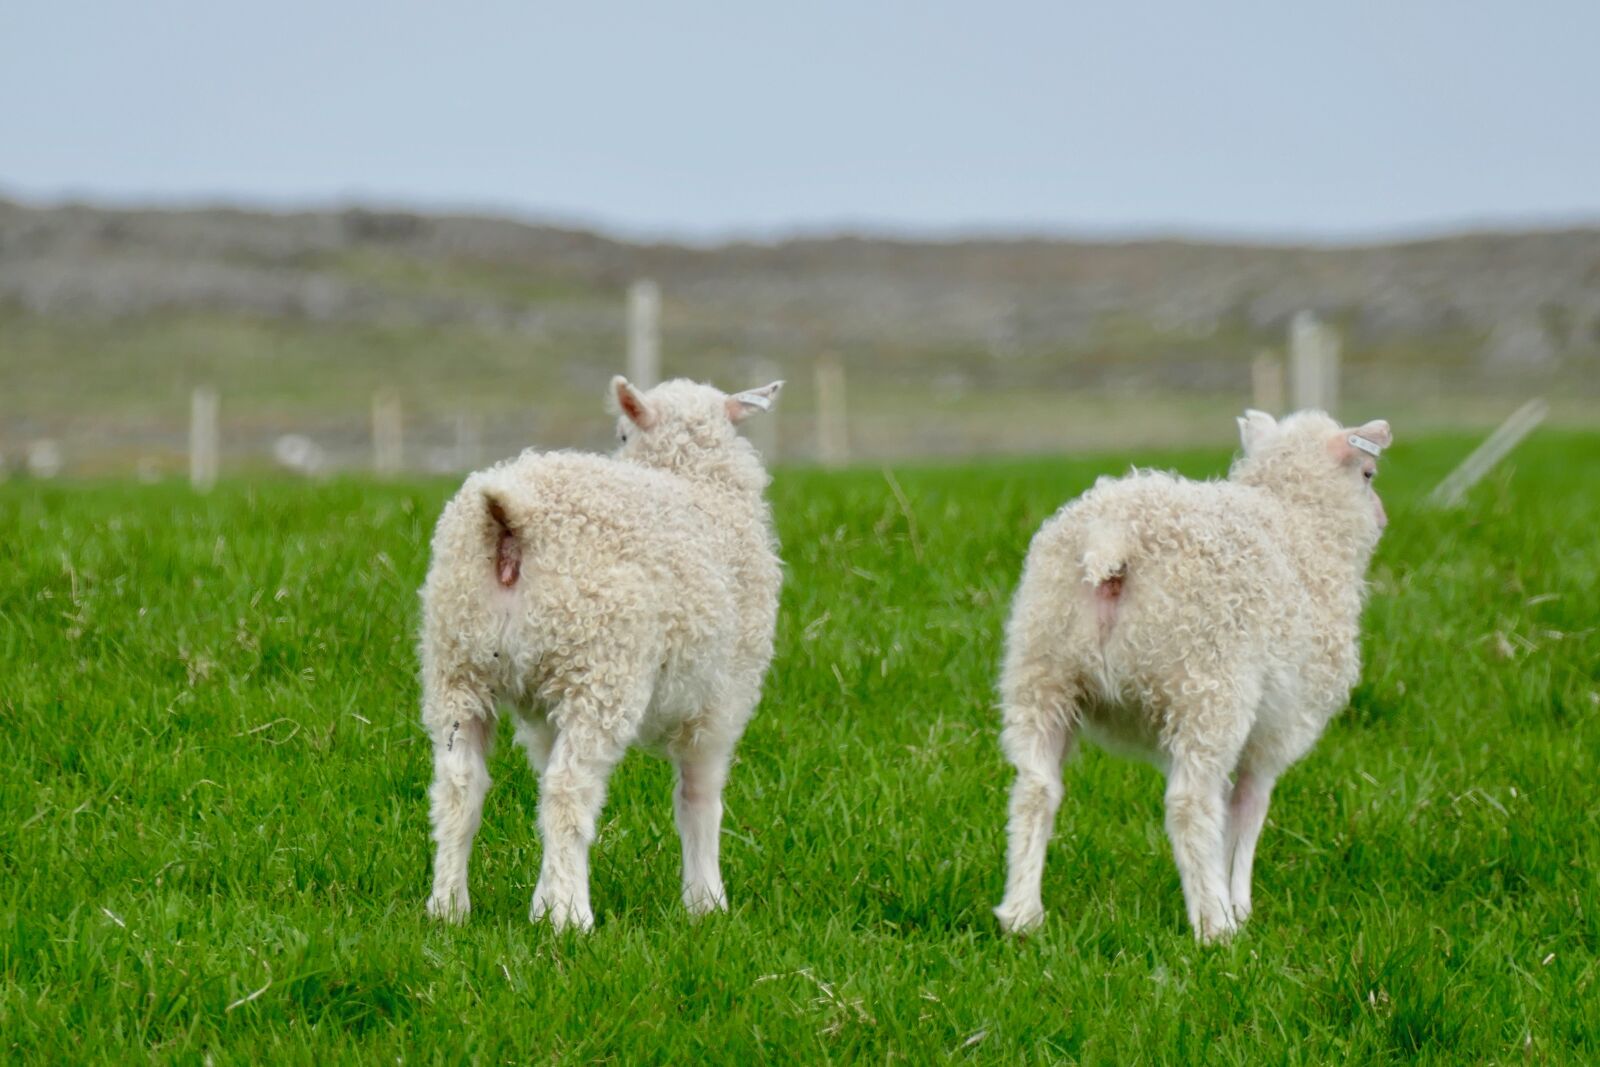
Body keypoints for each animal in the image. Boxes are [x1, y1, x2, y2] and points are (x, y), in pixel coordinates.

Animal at [420, 375, 784, 931]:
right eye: (621, 434)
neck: (697, 480)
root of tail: (510, 516)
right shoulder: (722, 700)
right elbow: (699, 799)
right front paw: (706, 902)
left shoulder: (544, 711)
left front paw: (542, 900)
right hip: (599, 669)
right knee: (569, 789)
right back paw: (574, 918)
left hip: (458, 663)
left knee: (460, 786)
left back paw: (449, 907)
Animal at [993, 409, 1393, 942]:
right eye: (1367, 474)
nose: (1383, 516)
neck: (1301, 523)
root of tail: (1112, 537)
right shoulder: (1276, 732)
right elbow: (1246, 811)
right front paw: (1239, 904)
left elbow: (1229, 813)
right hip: (1209, 686)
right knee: (1189, 804)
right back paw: (1214, 926)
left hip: (1042, 673)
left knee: (1035, 791)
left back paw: (1022, 916)